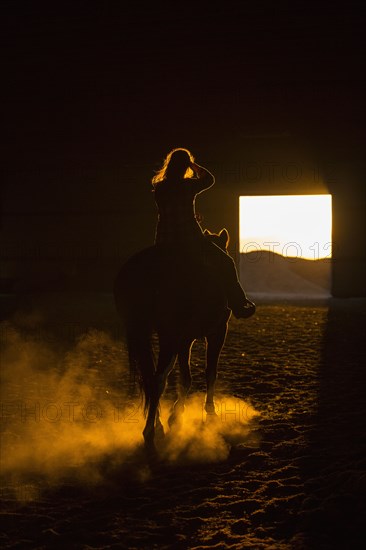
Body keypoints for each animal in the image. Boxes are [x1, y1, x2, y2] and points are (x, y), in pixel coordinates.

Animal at [113, 229, 246, 452]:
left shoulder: (185, 340)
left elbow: (185, 378)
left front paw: (176, 414)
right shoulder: (217, 332)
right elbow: (210, 372)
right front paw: (210, 412)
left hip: (148, 334)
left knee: (153, 379)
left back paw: (156, 423)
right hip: (169, 337)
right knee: (157, 379)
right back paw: (149, 432)